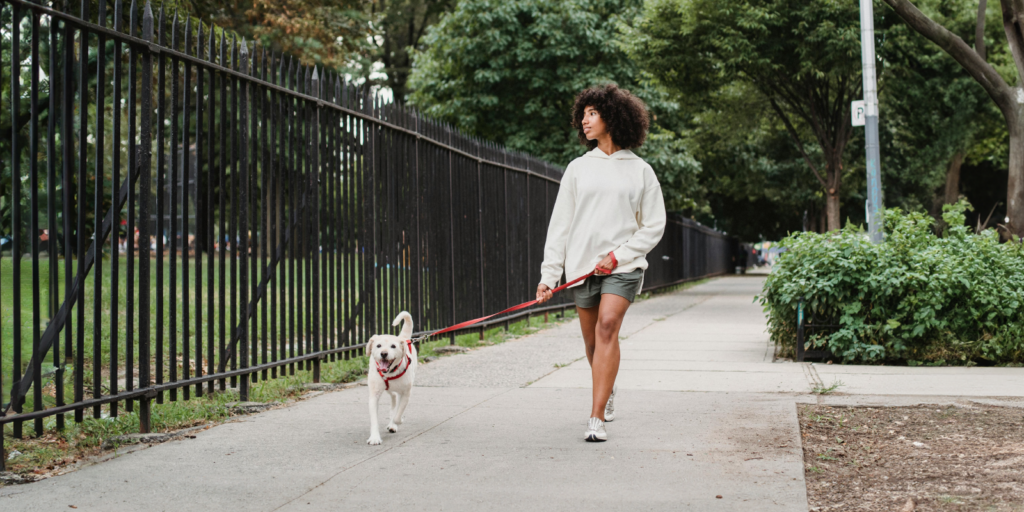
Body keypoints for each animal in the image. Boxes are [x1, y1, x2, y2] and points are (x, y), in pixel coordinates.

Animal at [368, 309, 415, 446]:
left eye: (393, 346)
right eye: (378, 346)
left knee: (396, 402)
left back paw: (393, 424)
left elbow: (398, 415)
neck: (390, 373)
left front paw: (395, 422)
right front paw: (374, 437)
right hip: (387, 389)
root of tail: (403, 338)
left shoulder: (406, 393)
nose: (384, 353)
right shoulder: (374, 395)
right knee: (393, 396)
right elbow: (374, 419)